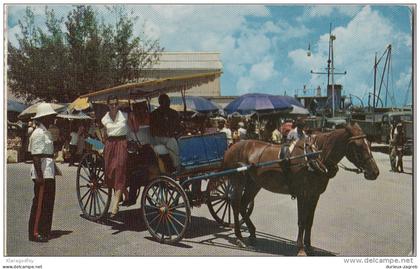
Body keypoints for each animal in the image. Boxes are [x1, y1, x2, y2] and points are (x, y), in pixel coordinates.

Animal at [225, 122, 378, 254]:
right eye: (358, 145)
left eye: (369, 144)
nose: (375, 172)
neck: (313, 157)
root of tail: (233, 147)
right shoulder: (302, 194)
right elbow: (302, 221)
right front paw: (300, 248)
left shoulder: (315, 194)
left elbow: (309, 221)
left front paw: (309, 246)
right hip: (237, 181)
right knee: (235, 204)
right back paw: (239, 237)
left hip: (254, 184)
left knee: (243, 204)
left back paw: (252, 233)